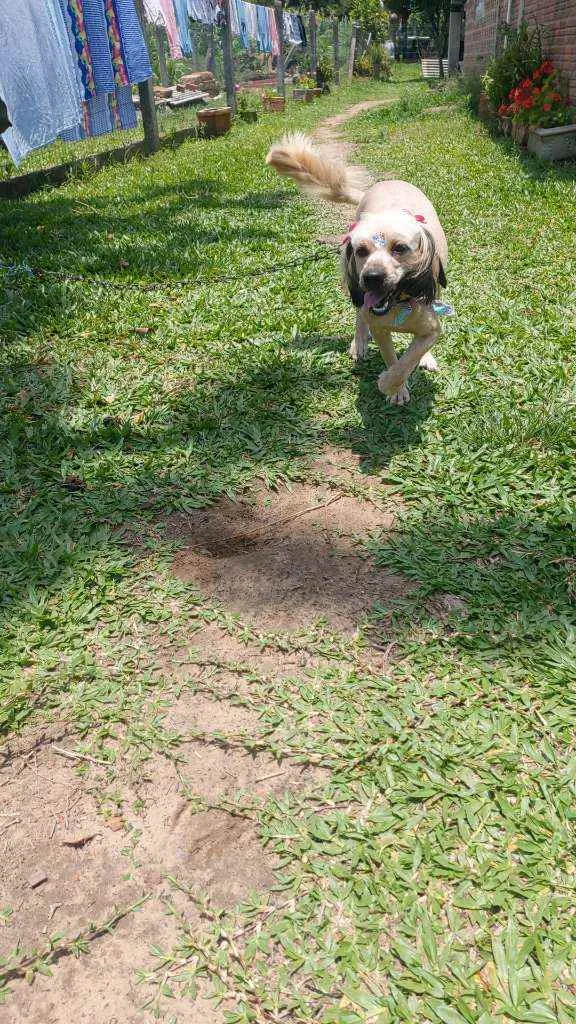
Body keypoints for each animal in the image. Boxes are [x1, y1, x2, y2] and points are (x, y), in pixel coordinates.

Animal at [266, 134, 448, 405]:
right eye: (361, 250)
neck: (399, 303)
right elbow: (393, 359)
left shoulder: (432, 328)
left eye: (400, 248)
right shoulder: (379, 326)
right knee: (359, 314)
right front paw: (394, 388)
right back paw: (358, 342)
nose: (371, 278)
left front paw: (398, 377)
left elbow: (410, 356)